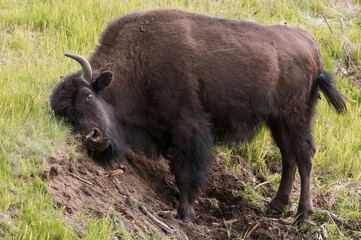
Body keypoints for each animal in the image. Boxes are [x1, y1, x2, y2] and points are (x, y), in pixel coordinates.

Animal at [50, 8, 346, 223]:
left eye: (88, 96)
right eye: (64, 114)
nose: (92, 138)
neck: (138, 63)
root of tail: (312, 44)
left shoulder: (189, 125)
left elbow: (186, 170)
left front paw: (185, 213)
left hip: (296, 117)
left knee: (305, 156)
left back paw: (302, 216)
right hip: (278, 121)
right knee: (289, 158)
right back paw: (276, 207)